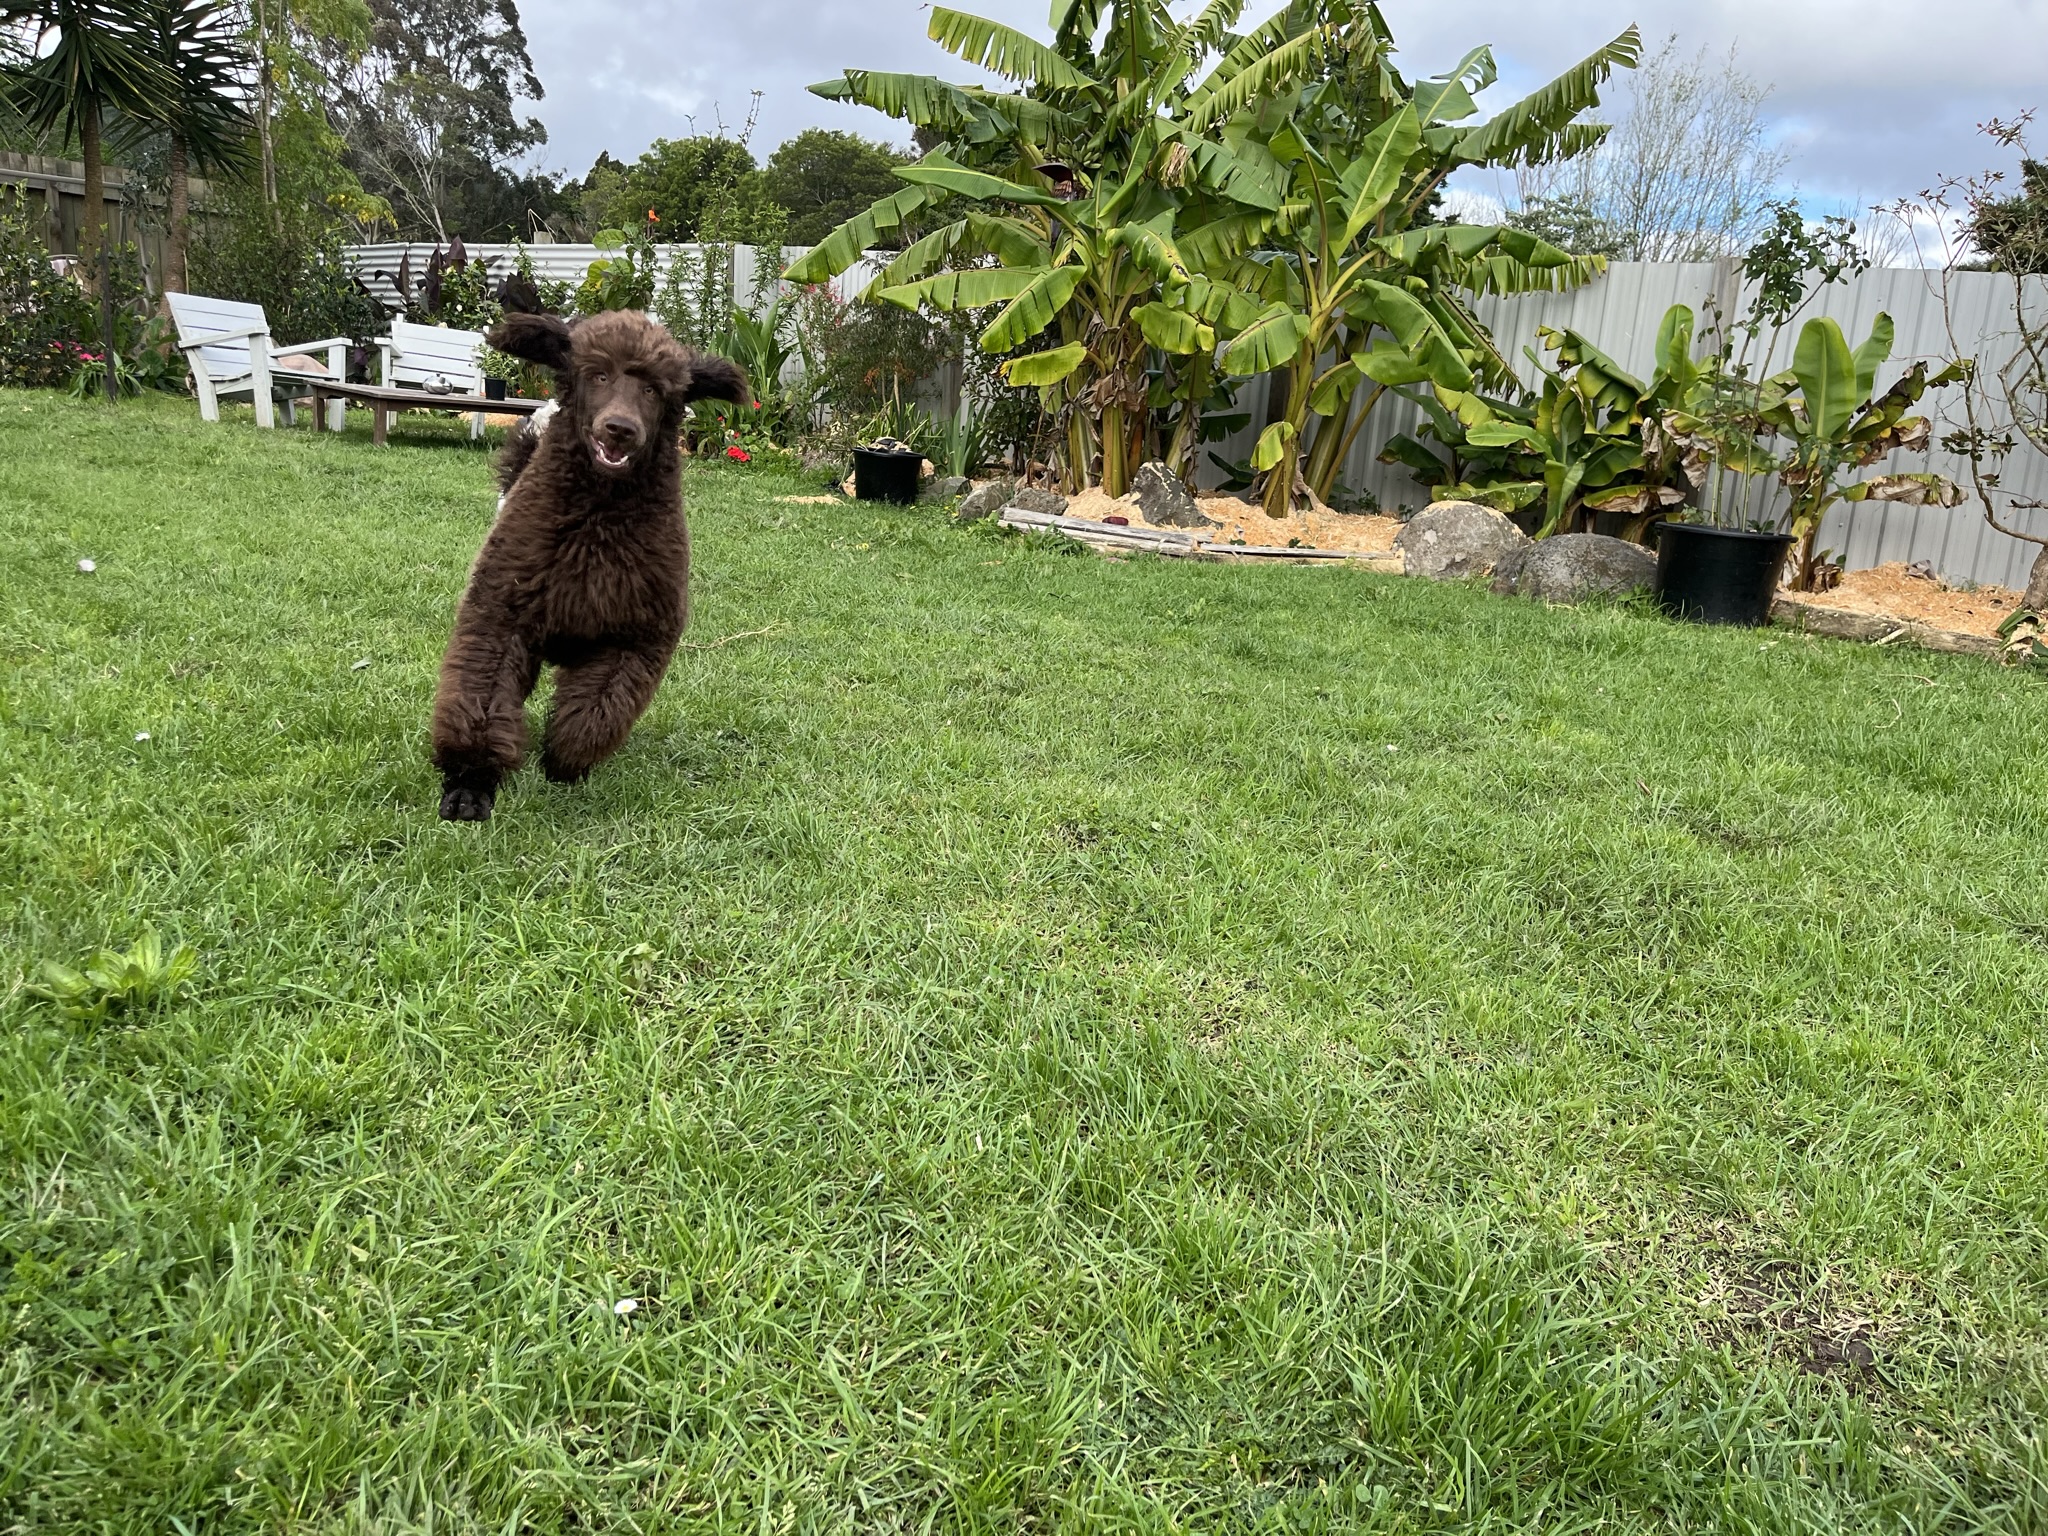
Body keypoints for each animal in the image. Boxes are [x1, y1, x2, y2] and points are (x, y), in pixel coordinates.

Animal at [430, 305, 745, 823]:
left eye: (653, 390)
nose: (620, 429)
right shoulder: (501, 621)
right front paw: (470, 785)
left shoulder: (631, 638)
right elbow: (481, 701)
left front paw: (562, 762)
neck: (596, 521)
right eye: (598, 374)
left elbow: (597, 713)